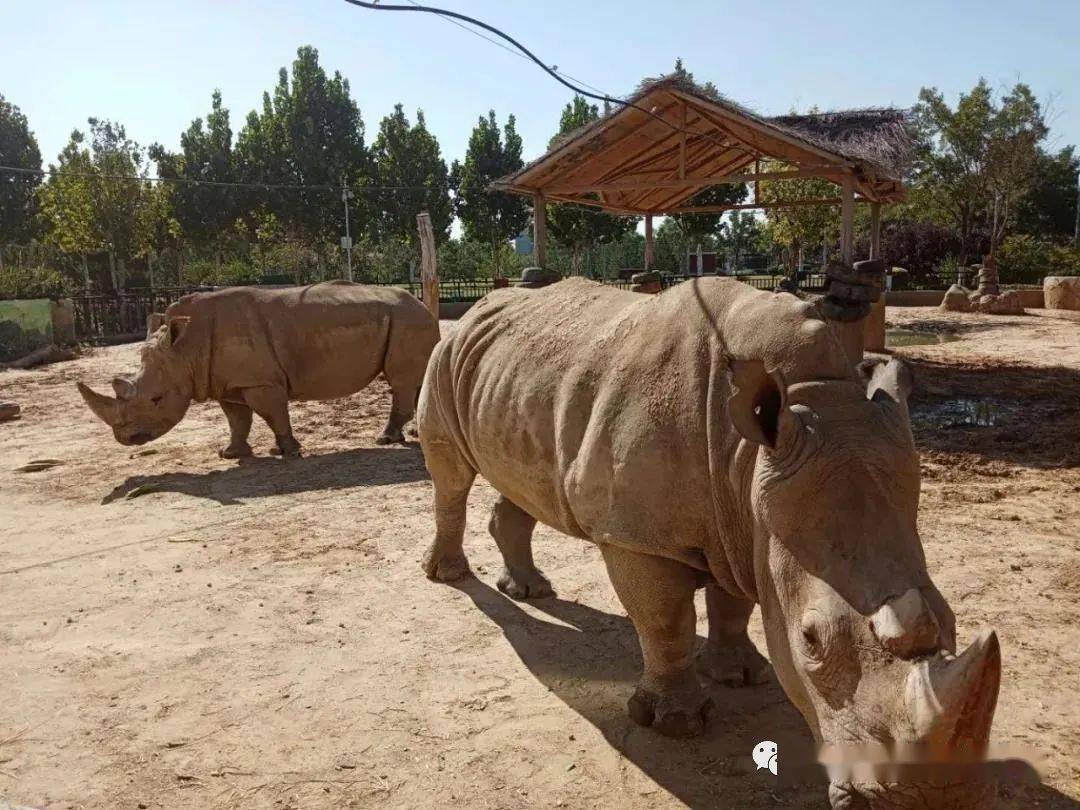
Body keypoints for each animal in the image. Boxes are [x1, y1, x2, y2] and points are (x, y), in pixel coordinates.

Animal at [76, 280, 440, 457]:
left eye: (156, 399)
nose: (126, 439)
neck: (186, 350)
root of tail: (423, 304)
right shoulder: (226, 383)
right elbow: (238, 420)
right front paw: (230, 454)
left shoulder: (260, 381)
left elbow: (272, 414)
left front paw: (289, 451)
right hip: (406, 320)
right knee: (415, 379)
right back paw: (413, 435)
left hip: (407, 319)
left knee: (401, 381)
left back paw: (385, 439)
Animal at [419, 278, 1002, 807]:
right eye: (811, 642)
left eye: (951, 620)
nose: (928, 801)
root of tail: (479, 308)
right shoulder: (637, 536)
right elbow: (666, 621)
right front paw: (675, 723)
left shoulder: (745, 522)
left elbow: (734, 602)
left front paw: (739, 674)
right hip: (445, 355)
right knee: (450, 470)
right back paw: (450, 576)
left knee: (518, 475)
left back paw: (530, 590)